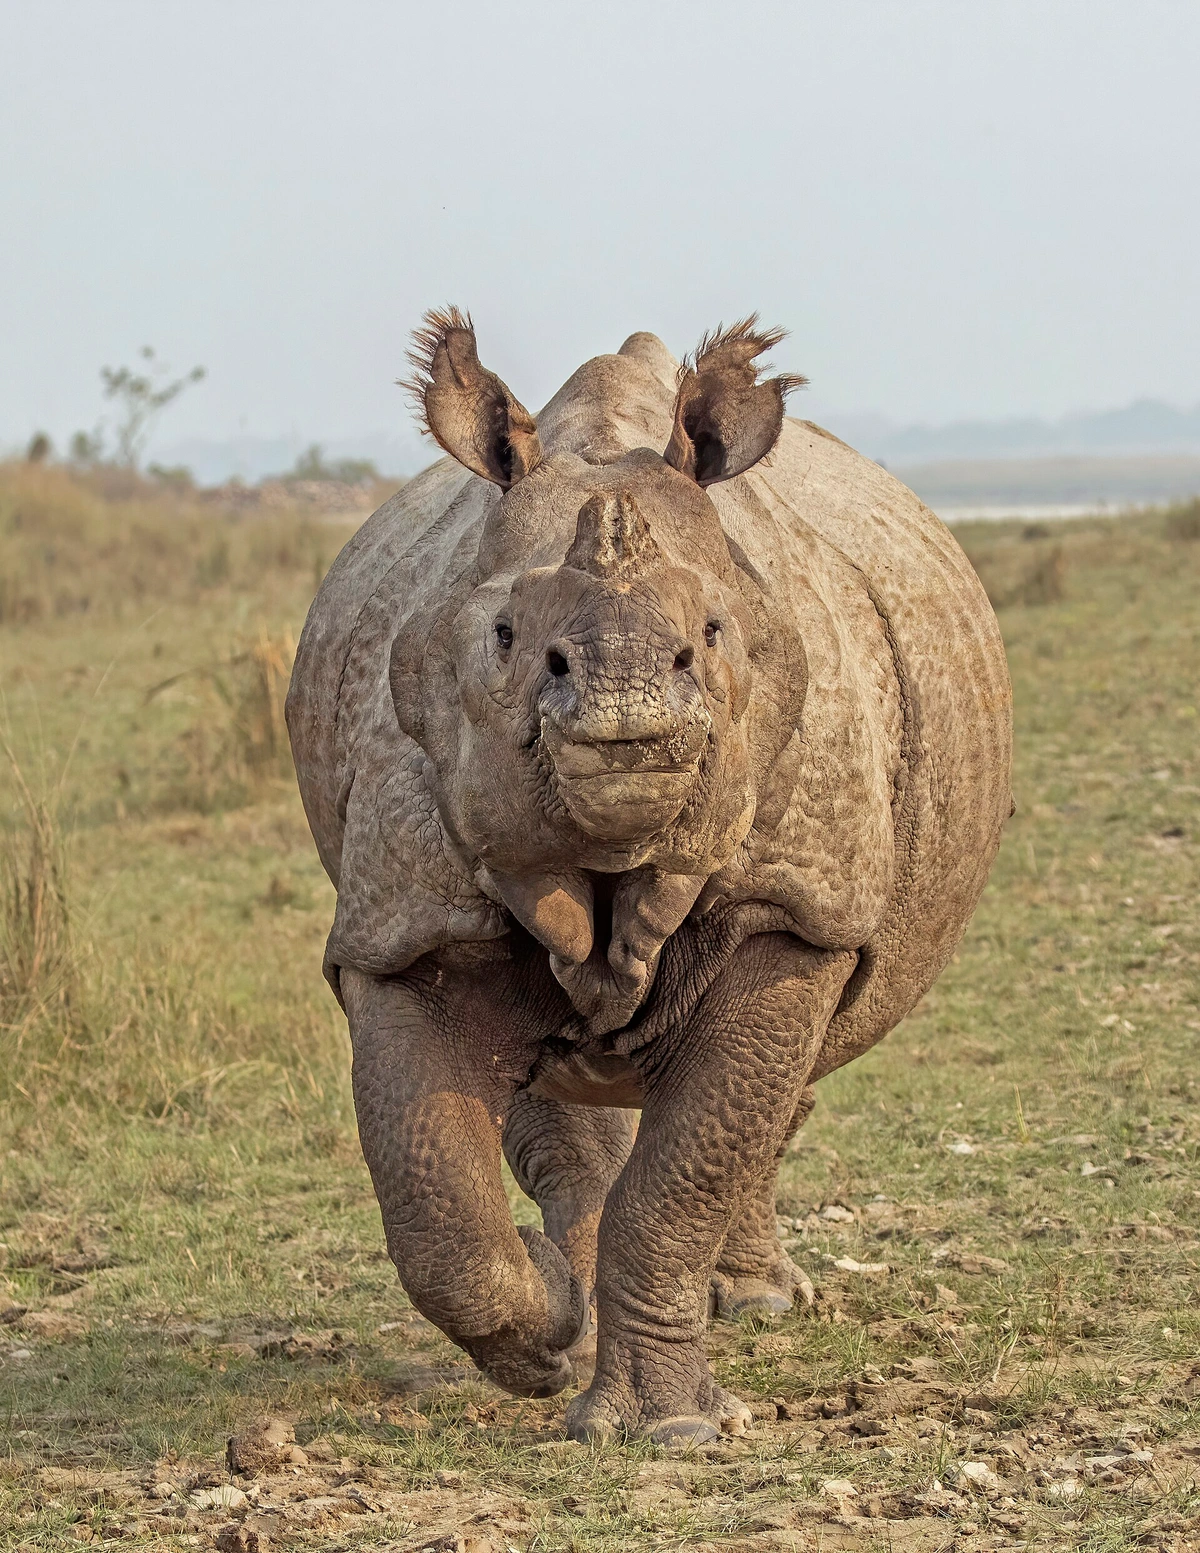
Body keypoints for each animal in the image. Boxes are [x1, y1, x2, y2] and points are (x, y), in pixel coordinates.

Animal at [286, 309, 1012, 1444]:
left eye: (711, 634)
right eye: (504, 636)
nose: (622, 702)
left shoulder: (793, 907)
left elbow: (692, 1162)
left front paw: (667, 1431)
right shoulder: (407, 924)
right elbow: (431, 1189)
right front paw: (544, 1333)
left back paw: (755, 1303)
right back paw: (576, 1299)